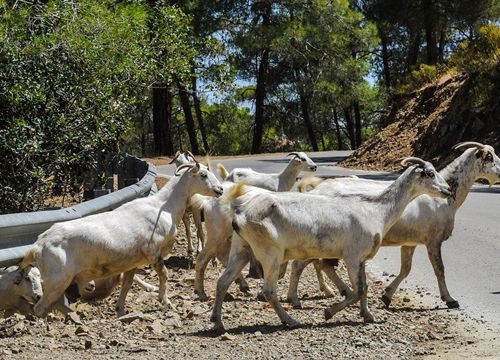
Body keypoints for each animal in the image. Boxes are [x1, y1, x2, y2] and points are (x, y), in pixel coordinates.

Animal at [20, 162, 222, 316]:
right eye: (203, 174)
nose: (220, 189)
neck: (162, 207)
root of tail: (37, 245)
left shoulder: (133, 261)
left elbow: (127, 284)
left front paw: (121, 309)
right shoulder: (153, 252)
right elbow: (164, 275)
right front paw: (166, 302)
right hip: (57, 280)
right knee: (39, 307)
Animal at [209, 158, 452, 332]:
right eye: (430, 173)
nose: (448, 190)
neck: (377, 210)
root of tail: (240, 213)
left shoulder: (361, 258)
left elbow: (364, 288)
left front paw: (367, 315)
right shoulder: (352, 255)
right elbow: (357, 290)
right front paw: (329, 312)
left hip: (241, 249)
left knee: (222, 282)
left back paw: (217, 322)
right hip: (270, 253)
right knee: (268, 291)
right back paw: (291, 320)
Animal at [286, 142, 500, 308]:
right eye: (489, 157)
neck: (444, 200)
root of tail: (314, 190)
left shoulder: (410, 242)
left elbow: (406, 269)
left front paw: (387, 295)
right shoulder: (433, 240)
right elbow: (439, 269)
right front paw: (450, 299)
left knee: (321, 264)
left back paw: (335, 291)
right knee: (306, 264)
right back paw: (301, 298)